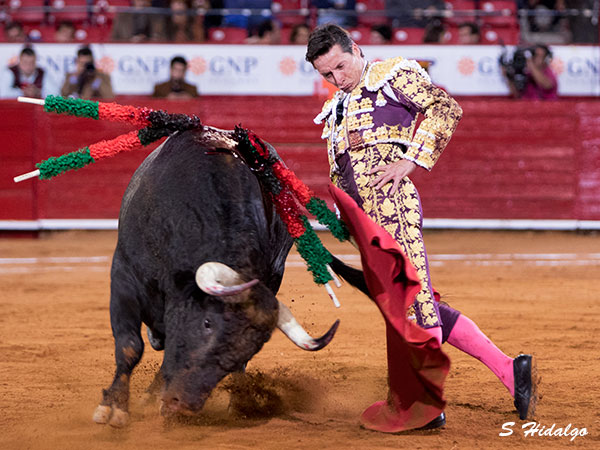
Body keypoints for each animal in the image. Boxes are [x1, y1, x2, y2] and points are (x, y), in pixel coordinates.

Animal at [92, 128, 339, 427]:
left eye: (251, 350)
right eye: (207, 323)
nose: (182, 405)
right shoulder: (124, 275)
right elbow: (130, 346)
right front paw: (113, 408)